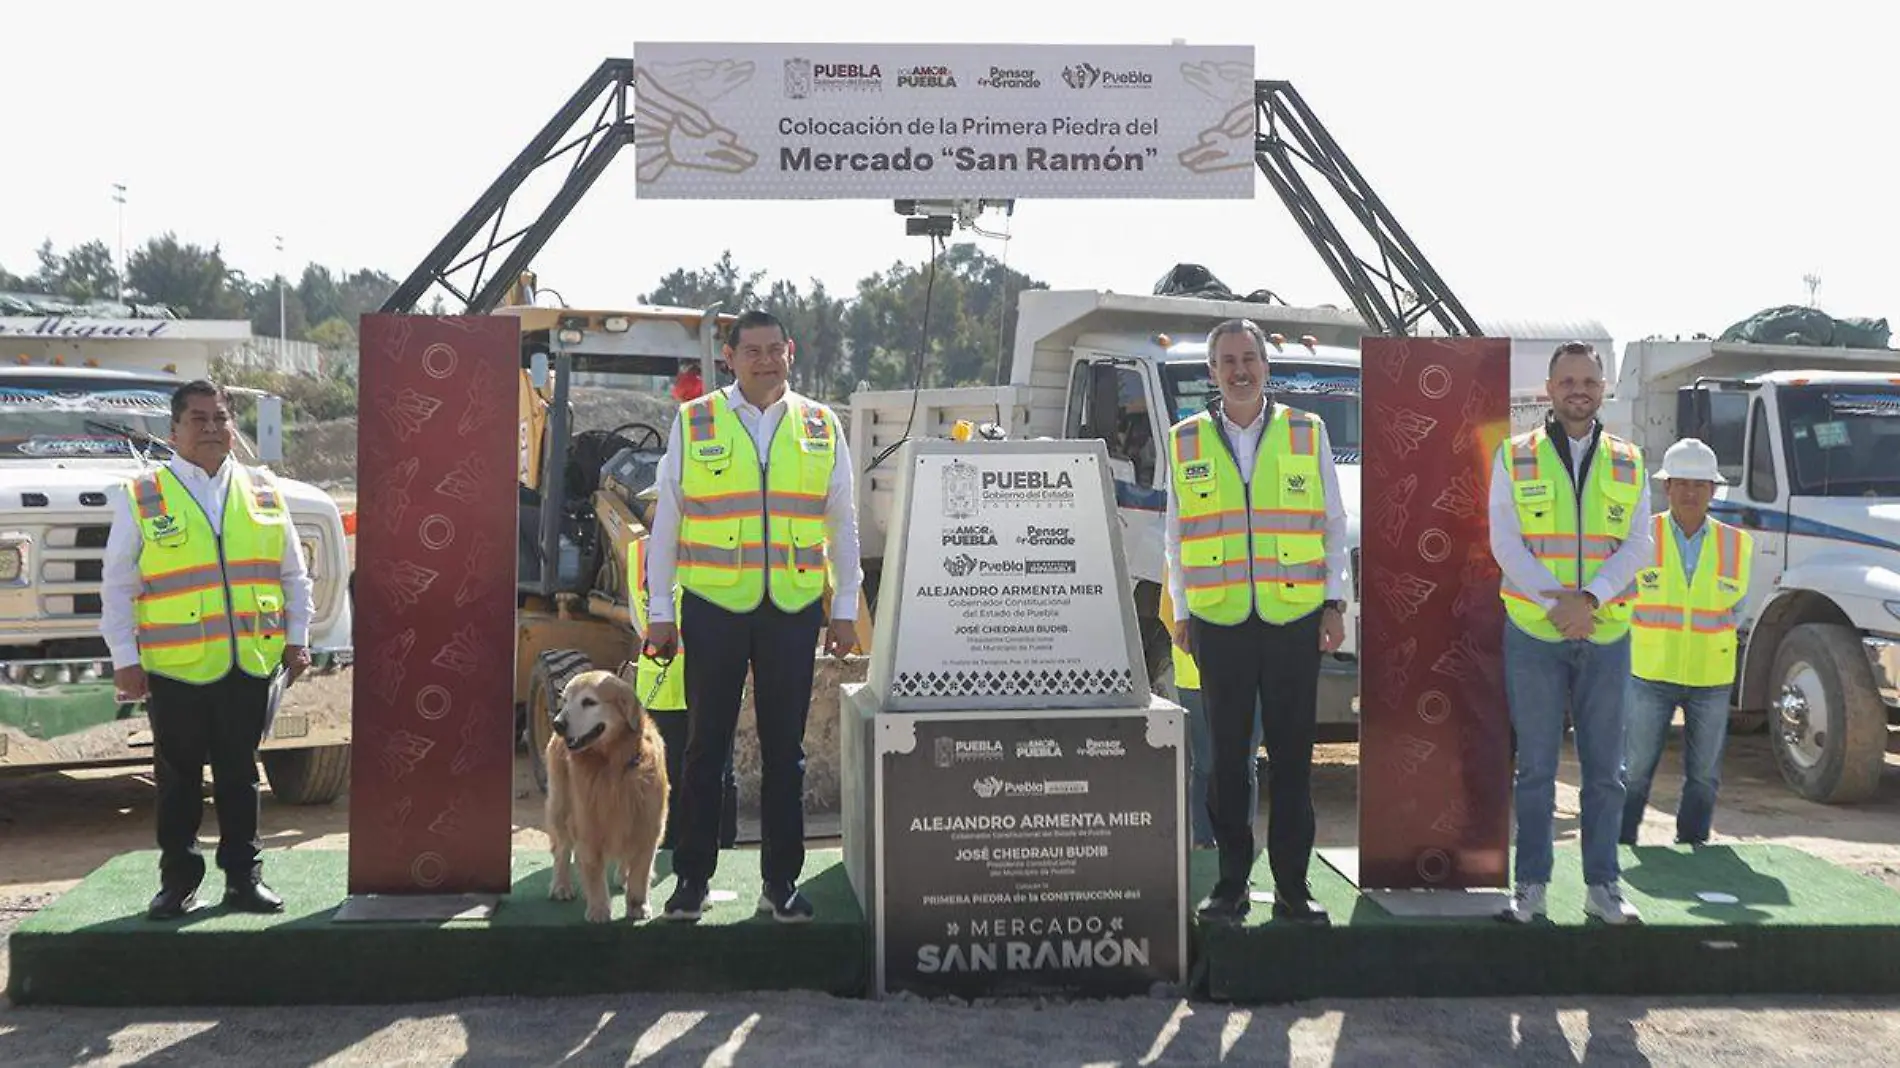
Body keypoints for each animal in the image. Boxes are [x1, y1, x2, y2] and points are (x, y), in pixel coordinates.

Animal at [543, 668, 668, 919]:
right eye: (566, 700)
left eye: (589, 702)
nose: (558, 724)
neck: (614, 765)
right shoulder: (588, 824)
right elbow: (592, 870)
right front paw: (599, 909)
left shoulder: (647, 824)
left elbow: (641, 870)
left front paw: (638, 905)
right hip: (561, 806)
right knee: (562, 849)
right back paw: (561, 886)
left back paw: (622, 876)